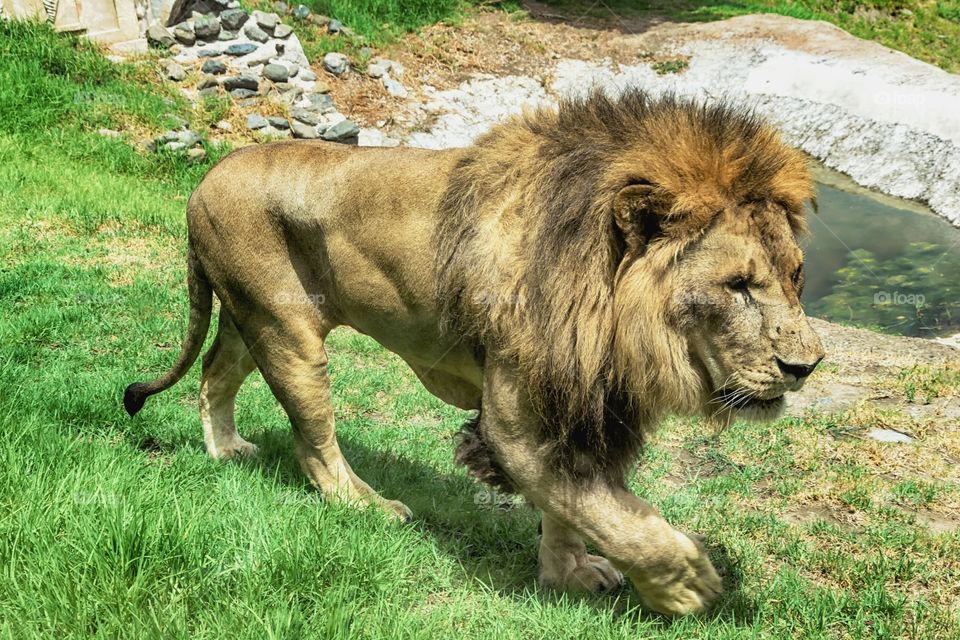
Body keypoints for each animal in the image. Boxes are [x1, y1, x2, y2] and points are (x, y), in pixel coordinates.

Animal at [124, 89, 824, 616]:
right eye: (737, 285)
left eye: (796, 276)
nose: (806, 367)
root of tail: (205, 180)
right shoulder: (516, 422)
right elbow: (611, 511)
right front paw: (687, 583)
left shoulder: (580, 406)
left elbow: (576, 505)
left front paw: (568, 575)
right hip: (285, 330)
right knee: (314, 441)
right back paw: (369, 506)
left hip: (249, 320)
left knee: (214, 373)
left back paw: (224, 449)